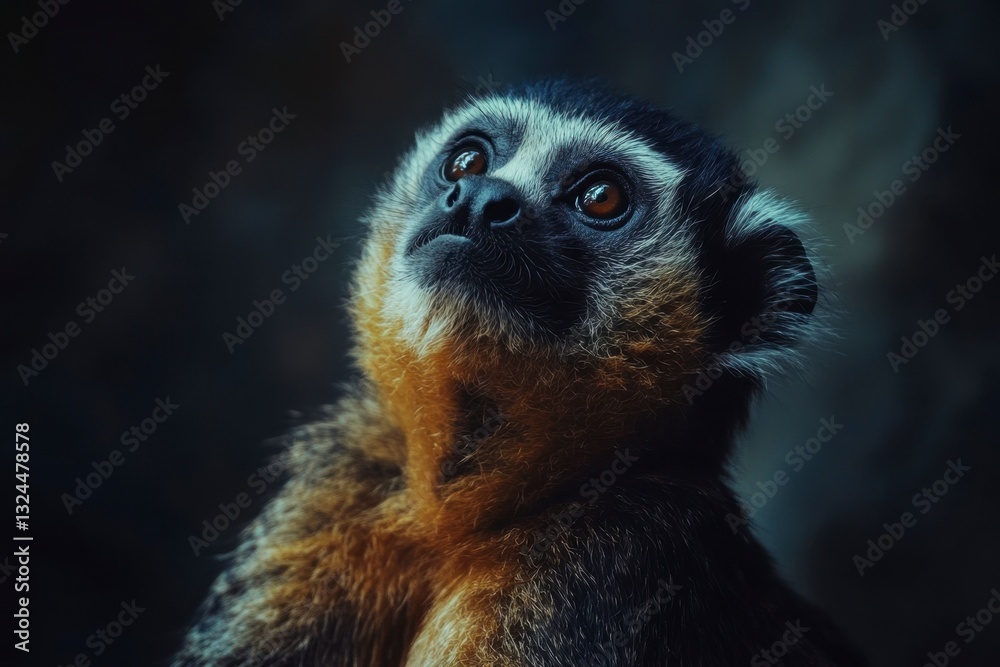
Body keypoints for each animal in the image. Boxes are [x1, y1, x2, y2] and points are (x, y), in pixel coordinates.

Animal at [173, 80, 868, 666]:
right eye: (466, 163)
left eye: (601, 197)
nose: (480, 197)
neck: (464, 516)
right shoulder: (345, 484)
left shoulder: (613, 555)